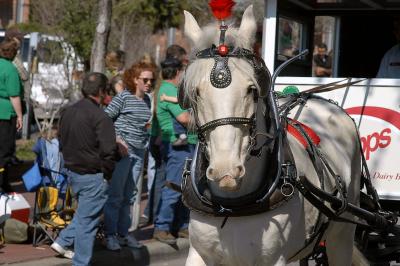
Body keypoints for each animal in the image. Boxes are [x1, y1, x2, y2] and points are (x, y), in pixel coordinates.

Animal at [181, 4, 366, 266]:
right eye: (195, 92)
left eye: (252, 89)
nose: (226, 170)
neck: (232, 205)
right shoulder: (198, 254)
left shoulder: (275, 259)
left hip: (343, 233)